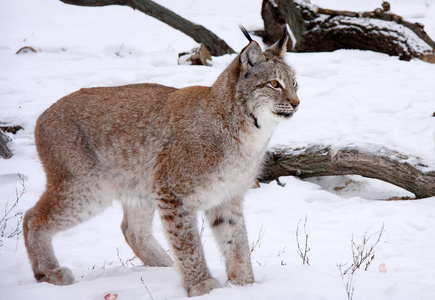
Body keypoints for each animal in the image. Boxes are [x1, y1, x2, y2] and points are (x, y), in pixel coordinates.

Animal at [23, 26, 300, 298]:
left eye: (295, 83)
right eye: (274, 84)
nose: (297, 103)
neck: (248, 130)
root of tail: (43, 115)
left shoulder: (227, 195)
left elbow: (236, 239)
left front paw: (245, 285)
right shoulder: (173, 192)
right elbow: (187, 241)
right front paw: (202, 285)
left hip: (138, 184)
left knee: (131, 230)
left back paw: (164, 266)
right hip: (87, 187)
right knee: (31, 217)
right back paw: (48, 272)